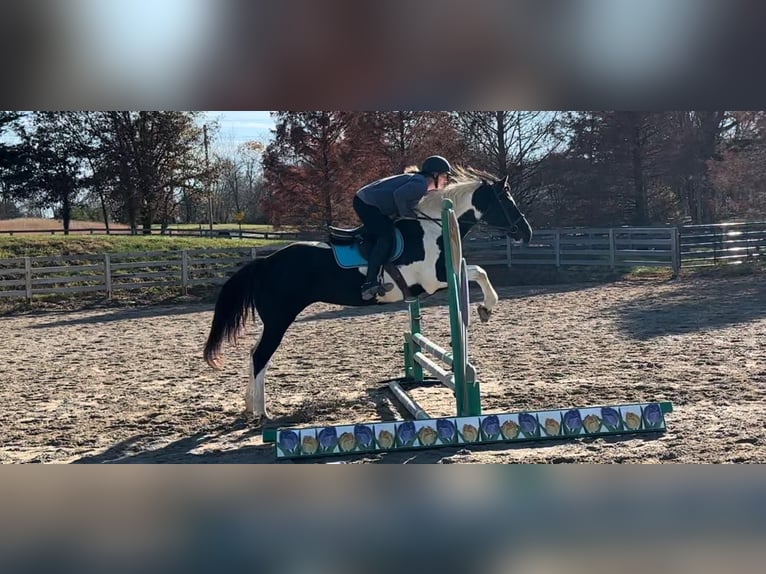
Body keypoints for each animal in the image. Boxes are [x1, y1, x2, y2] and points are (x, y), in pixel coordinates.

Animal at [203, 168, 532, 419]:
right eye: (507, 200)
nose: (526, 233)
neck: (435, 228)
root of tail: (264, 262)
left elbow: (479, 272)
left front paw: (486, 308)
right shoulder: (435, 280)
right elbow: (479, 271)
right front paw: (487, 308)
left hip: (273, 320)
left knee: (254, 355)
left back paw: (249, 406)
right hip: (279, 318)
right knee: (260, 356)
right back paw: (262, 413)